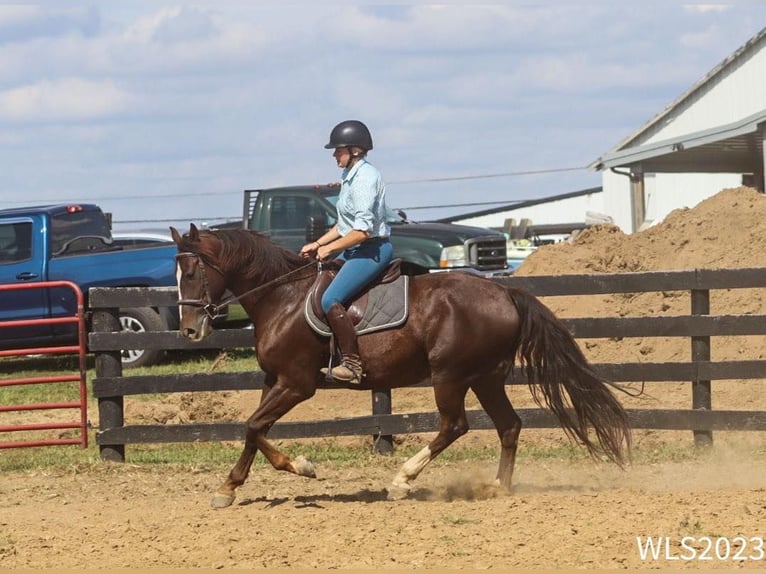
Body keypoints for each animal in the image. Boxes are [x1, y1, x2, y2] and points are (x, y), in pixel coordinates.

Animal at [171, 223, 632, 510]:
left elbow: (253, 426)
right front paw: (233, 486)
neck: (281, 297)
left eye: (192, 272)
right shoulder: (274, 379)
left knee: (454, 425)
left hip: (451, 375)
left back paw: (402, 480)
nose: (190, 331)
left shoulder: (298, 384)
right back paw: (498, 487)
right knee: (509, 426)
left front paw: (297, 468)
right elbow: (254, 429)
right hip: (486, 377)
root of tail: (505, 292)